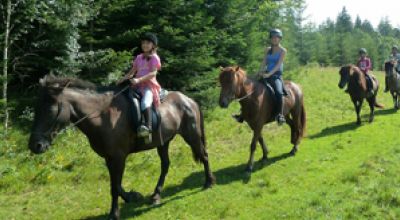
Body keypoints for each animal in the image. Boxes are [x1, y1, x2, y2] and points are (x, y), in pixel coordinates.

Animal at [28, 75, 216, 219]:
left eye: (50, 110)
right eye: (36, 109)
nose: (35, 145)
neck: (102, 116)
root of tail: (189, 100)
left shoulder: (118, 157)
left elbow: (115, 187)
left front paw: (115, 212)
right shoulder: (109, 158)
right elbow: (116, 185)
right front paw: (132, 197)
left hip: (192, 136)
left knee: (204, 155)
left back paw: (209, 182)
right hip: (164, 142)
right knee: (165, 165)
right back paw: (156, 195)